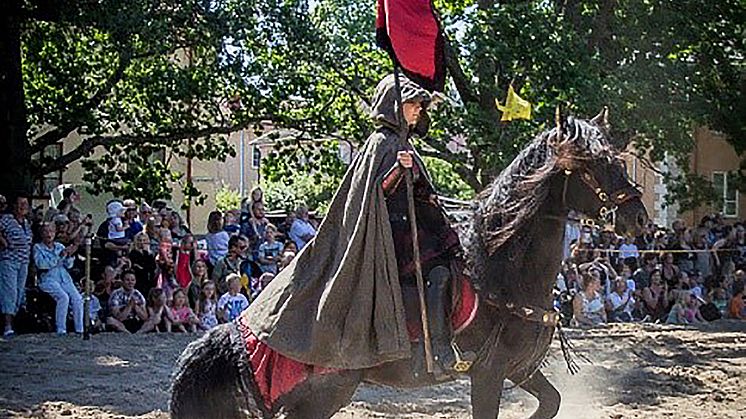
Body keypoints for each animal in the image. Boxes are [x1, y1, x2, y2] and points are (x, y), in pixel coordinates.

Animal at [169, 109, 644, 419]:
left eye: (617, 160)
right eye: (596, 165)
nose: (638, 218)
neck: (501, 268)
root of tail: (247, 326)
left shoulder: (521, 370)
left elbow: (551, 402)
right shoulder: (488, 373)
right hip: (324, 393)